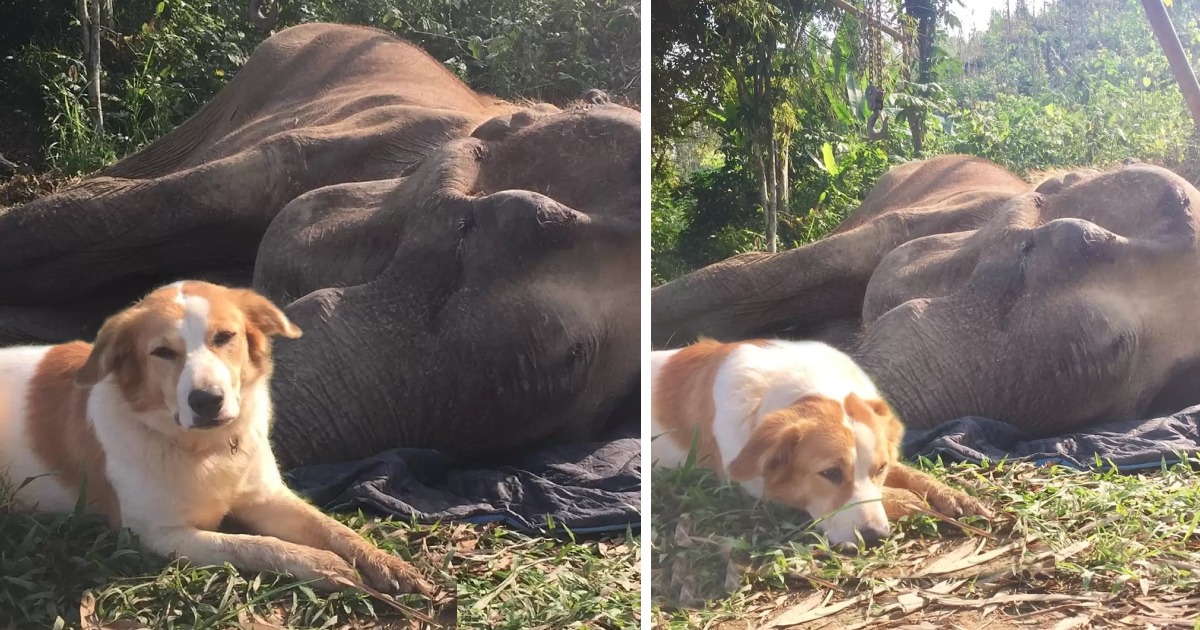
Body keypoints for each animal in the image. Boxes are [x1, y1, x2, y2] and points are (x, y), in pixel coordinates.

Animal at [0, 279, 432, 595]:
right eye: (162, 352)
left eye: (225, 337)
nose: (207, 401)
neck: (206, 451)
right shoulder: (158, 534)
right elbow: (253, 544)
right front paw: (325, 566)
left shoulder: (267, 496)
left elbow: (331, 528)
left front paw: (385, 563)